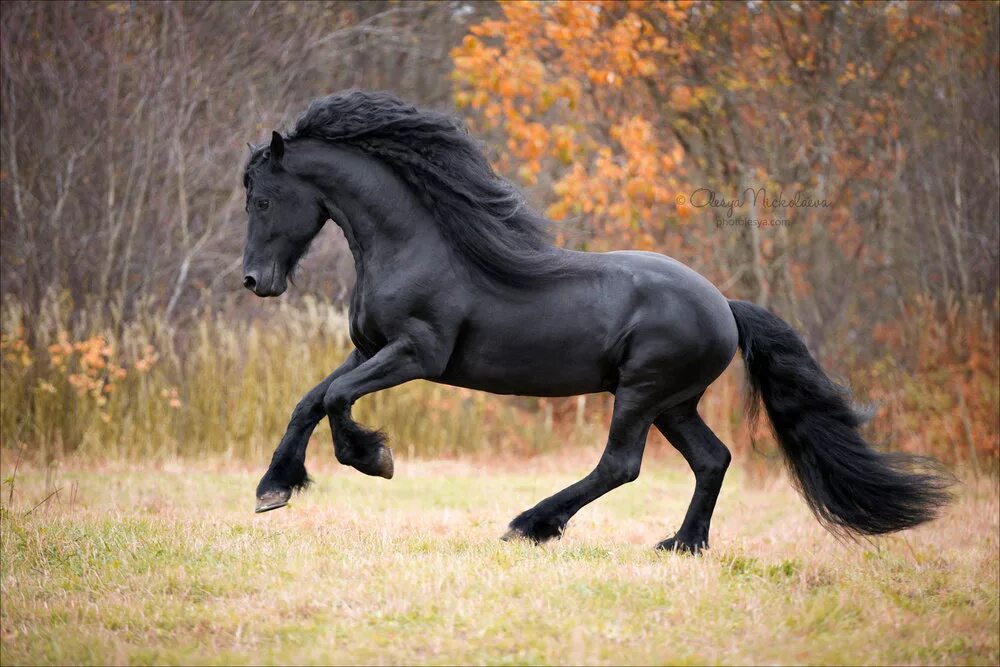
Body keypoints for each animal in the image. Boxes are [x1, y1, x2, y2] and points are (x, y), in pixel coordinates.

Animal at [238, 92, 948, 552]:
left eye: (263, 199)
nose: (254, 281)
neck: (416, 245)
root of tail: (724, 304)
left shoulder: (416, 354)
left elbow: (335, 399)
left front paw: (373, 459)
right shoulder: (370, 348)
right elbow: (311, 399)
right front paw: (274, 488)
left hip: (641, 392)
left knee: (621, 464)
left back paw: (531, 525)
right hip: (674, 402)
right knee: (711, 459)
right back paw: (681, 545)